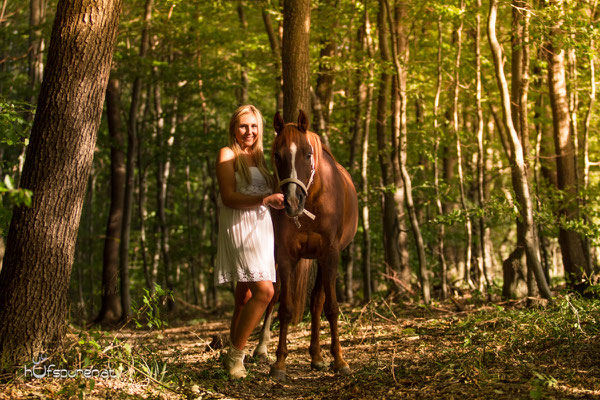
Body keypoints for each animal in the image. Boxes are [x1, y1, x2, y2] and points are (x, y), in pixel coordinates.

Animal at [252, 110, 356, 382]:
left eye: (308, 154)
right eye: (277, 155)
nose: (291, 201)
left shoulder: (330, 255)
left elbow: (330, 307)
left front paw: (339, 360)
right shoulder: (285, 256)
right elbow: (285, 308)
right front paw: (279, 363)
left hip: (321, 260)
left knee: (317, 302)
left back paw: (317, 356)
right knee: (276, 295)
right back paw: (262, 348)